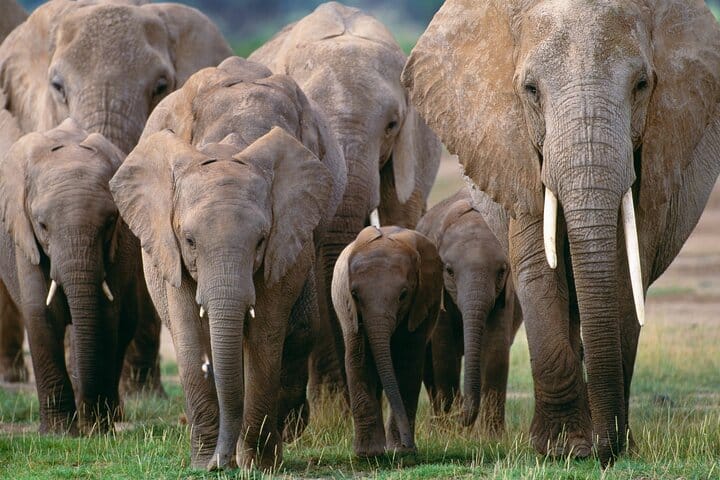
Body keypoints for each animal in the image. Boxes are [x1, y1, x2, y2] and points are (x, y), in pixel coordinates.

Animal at [0, 118, 154, 434]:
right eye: (42, 225)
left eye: (111, 222)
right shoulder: (24, 239)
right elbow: (41, 314)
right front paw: (59, 432)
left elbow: (105, 315)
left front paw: (95, 430)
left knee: (125, 324)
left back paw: (109, 416)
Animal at [109, 57, 346, 470]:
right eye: (189, 241)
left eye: (260, 241)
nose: (222, 463)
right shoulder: (170, 246)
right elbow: (189, 333)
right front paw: (205, 463)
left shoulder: (288, 230)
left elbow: (267, 332)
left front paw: (256, 464)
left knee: (299, 330)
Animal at [331, 226, 442, 457]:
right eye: (354, 294)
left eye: (403, 295)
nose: (410, 445)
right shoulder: (350, 310)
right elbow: (358, 358)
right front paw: (368, 454)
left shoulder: (421, 301)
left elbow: (408, 361)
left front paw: (400, 452)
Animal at [417, 188, 522, 434]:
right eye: (449, 270)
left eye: (502, 271)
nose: (460, 417)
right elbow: (444, 352)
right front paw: (450, 433)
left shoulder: (505, 293)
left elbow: (495, 351)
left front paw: (492, 436)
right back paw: (438, 424)